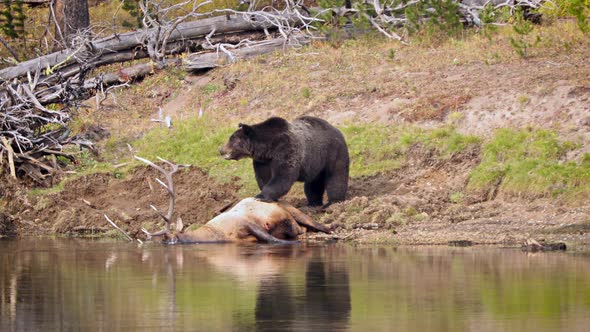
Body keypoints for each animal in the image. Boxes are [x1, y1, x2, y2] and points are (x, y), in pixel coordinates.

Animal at [222, 115, 352, 206]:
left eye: (231, 139)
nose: (220, 150)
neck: (268, 148)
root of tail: (336, 129)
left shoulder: (286, 149)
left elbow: (283, 175)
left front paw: (260, 196)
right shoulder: (263, 161)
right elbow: (263, 177)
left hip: (333, 151)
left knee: (336, 176)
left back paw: (333, 202)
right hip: (316, 163)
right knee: (313, 183)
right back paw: (313, 203)